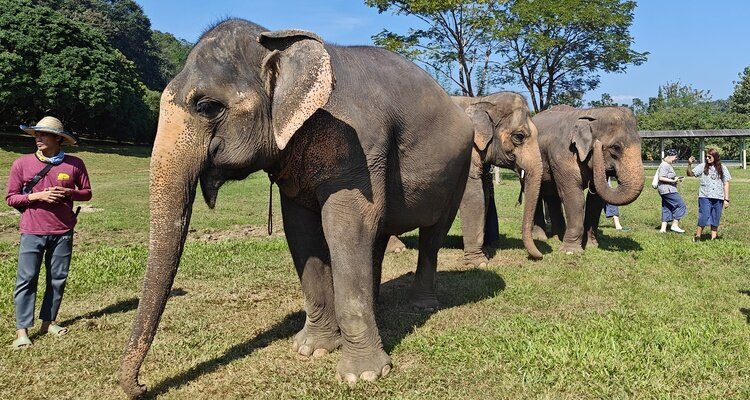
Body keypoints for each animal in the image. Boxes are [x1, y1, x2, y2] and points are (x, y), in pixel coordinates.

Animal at [118, 19, 477, 397]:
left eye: (207, 106)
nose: (140, 386)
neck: (276, 39)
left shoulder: (359, 146)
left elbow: (346, 226)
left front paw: (363, 374)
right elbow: (301, 231)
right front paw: (311, 349)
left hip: (460, 168)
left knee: (432, 235)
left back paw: (422, 303)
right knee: (378, 235)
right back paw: (377, 304)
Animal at [451, 92, 544, 265]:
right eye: (519, 136)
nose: (539, 256)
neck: (481, 101)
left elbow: (485, 193)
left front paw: (485, 252)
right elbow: (473, 193)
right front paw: (479, 263)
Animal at [530, 105, 644, 253]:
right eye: (616, 147)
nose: (598, 145)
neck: (592, 113)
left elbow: (595, 202)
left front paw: (591, 246)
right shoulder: (563, 155)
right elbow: (574, 197)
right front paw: (571, 251)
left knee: (552, 194)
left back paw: (557, 236)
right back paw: (540, 237)